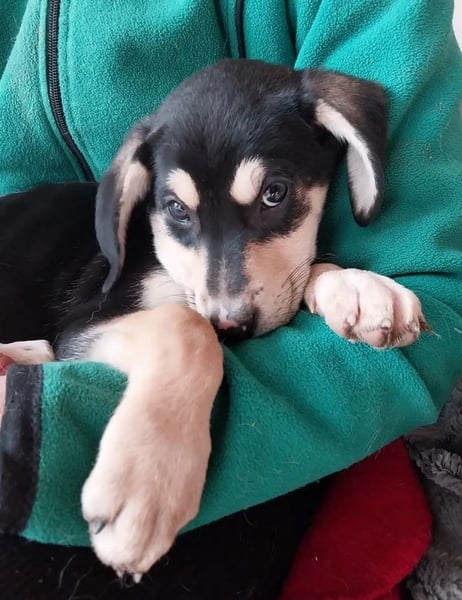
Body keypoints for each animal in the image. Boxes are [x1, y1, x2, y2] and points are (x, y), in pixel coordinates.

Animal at [0, 59, 428, 579]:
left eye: (274, 194)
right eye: (176, 210)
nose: (231, 328)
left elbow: (299, 274)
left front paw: (358, 288)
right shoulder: (87, 323)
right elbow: (186, 326)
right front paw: (147, 481)